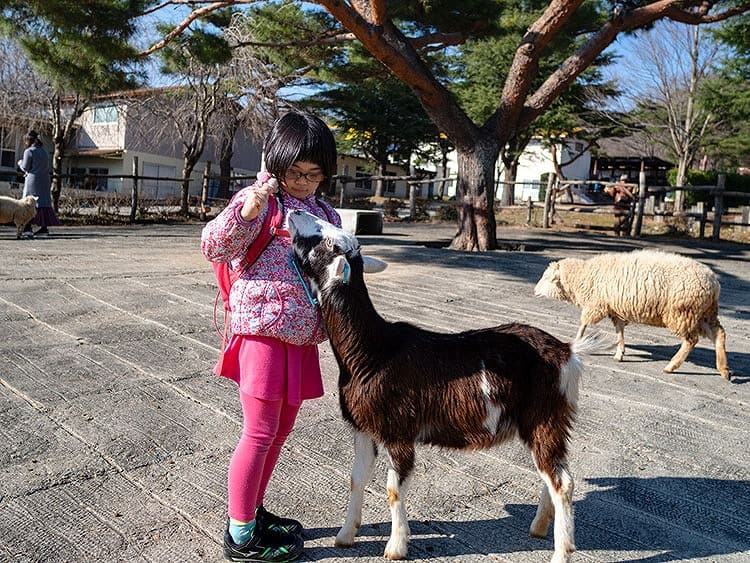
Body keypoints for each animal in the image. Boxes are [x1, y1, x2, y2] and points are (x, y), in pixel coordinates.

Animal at [290, 212, 604, 563]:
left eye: (328, 241)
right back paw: (538, 527)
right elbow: (356, 479)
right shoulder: (363, 427)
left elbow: (392, 489)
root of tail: (567, 352)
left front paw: (396, 547)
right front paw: (345, 536)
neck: (374, 352)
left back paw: (561, 552)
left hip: (547, 416)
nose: (295, 213)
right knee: (551, 473)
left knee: (562, 481)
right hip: (539, 423)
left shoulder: (400, 431)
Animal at [536, 250, 732, 378]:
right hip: (704, 314)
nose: (535, 291)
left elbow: (583, 323)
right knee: (719, 333)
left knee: (691, 340)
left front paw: (577, 342)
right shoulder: (614, 308)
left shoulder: (596, 305)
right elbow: (619, 331)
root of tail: (714, 284)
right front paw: (619, 353)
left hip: (682, 313)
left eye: (547, 278)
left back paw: (671, 366)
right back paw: (724, 369)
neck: (584, 277)